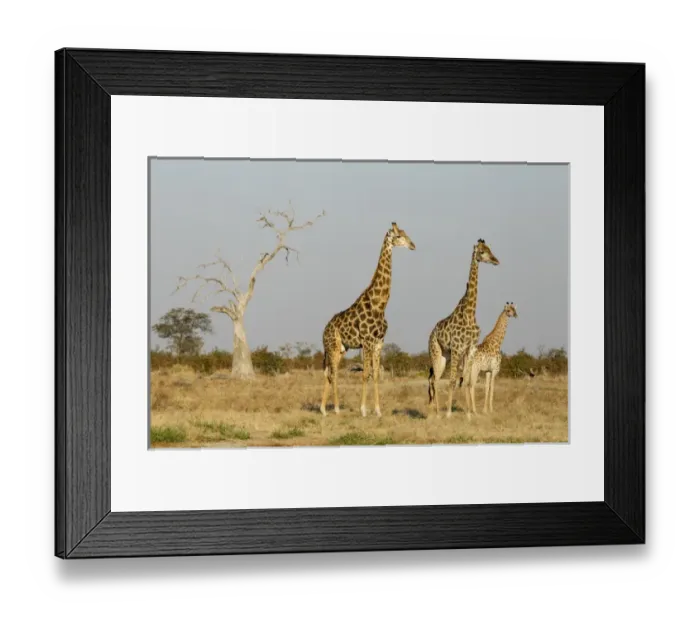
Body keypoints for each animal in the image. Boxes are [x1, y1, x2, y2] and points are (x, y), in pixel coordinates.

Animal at [320, 222, 416, 417]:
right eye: (399, 236)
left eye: (406, 233)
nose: (413, 245)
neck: (379, 305)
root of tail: (323, 332)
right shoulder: (367, 341)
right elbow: (365, 374)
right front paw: (363, 410)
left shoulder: (379, 342)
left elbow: (376, 374)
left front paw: (378, 411)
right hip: (332, 347)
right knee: (333, 374)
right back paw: (336, 408)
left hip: (341, 349)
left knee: (328, 373)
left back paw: (323, 409)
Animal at [427, 239, 500, 418]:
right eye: (481, 252)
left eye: (490, 249)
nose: (496, 260)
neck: (470, 313)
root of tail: (431, 333)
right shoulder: (457, 348)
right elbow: (453, 381)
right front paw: (448, 414)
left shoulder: (470, 349)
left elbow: (466, 381)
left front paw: (469, 415)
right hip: (436, 351)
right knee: (434, 379)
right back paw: (437, 413)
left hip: (445, 356)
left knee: (435, 379)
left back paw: (437, 412)